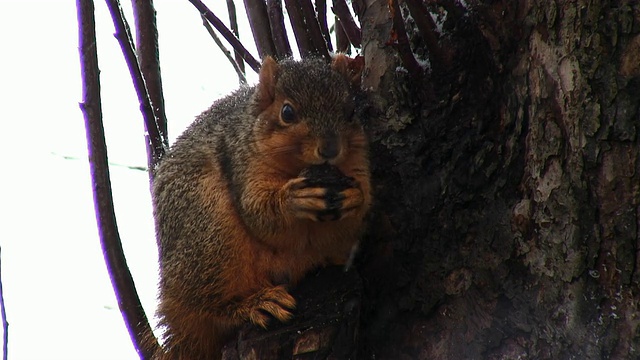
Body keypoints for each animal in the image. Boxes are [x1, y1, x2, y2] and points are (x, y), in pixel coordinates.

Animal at [152, 54, 370, 360]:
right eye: (287, 112)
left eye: (350, 111)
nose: (330, 149)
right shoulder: (244, 163)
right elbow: (259, 214)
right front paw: (292, 199)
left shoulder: (359, 163)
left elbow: (360, 208)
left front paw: (355, 197)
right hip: (212, 236)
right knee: (210, 308)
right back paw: (253, 304)